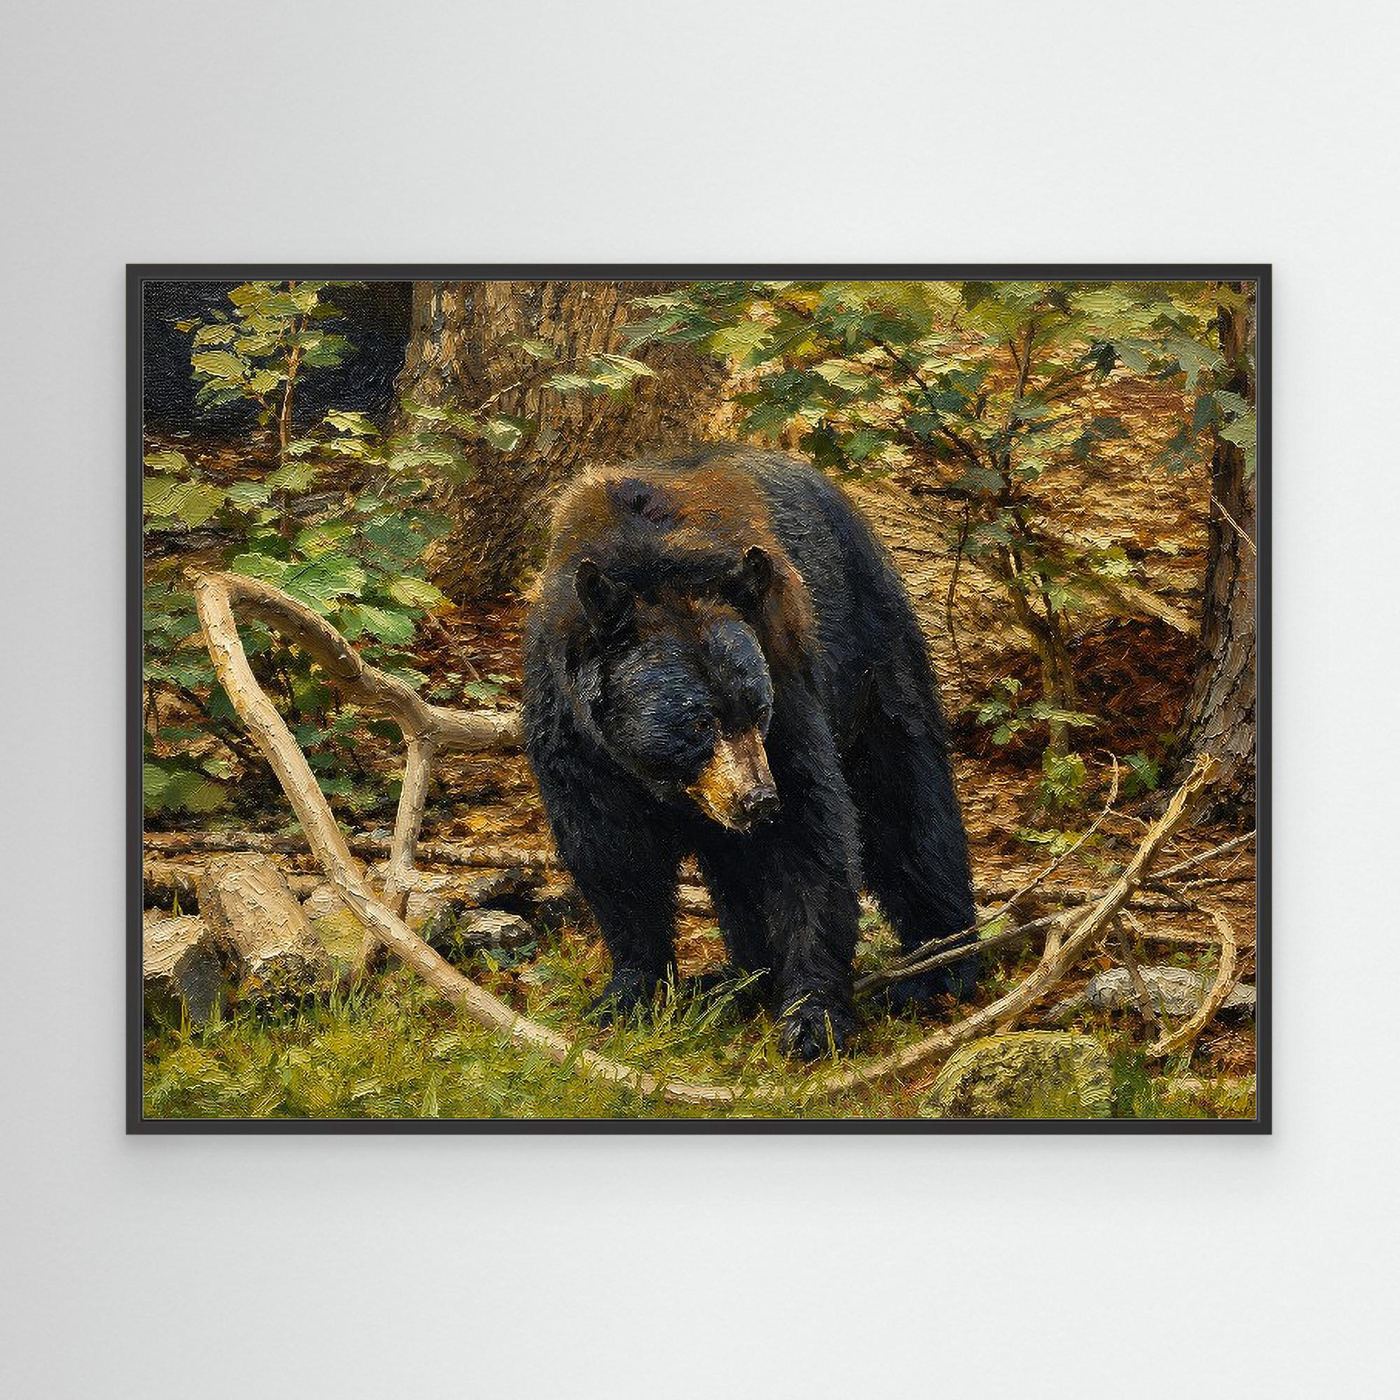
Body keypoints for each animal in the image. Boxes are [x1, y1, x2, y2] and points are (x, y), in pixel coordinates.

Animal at [522, 444, 977, 1060]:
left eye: (756, 709)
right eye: (698, 721)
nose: (758, 799)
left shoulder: (786, 682)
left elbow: (810, 836)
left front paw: (813, 1015)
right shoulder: (573, 736)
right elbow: (611, 854)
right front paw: (629, 992)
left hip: (871, 651)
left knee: (907, 799)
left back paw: (941, 965)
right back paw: (740, 981)